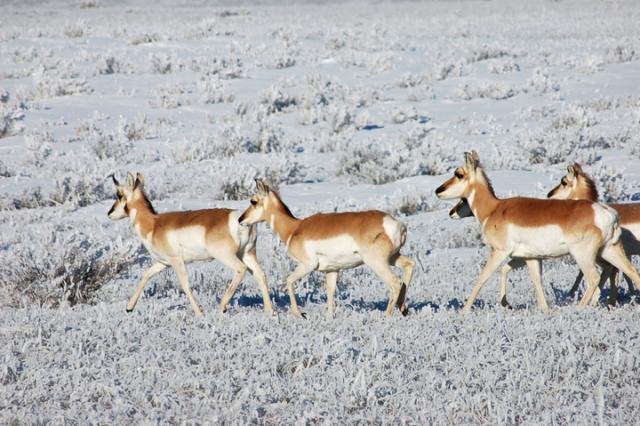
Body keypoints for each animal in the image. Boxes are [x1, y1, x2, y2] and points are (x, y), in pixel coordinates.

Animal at [107, 172, 273, 316]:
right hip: (247, 254)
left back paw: (222, 307)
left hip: (227, 256)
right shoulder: (164, 263)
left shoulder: (176, 261)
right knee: (260, 274)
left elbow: (185, 285)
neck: (153, 224)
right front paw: (129, 308)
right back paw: (269, 310)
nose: (109, 213)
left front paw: (199, 313)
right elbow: (146, 276)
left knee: (241, 269)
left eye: (119, 195)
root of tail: (239, 218)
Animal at [238, 179, 415, 319]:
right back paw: (403, 308)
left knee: (395, 282)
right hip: (392, 258)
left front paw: (299, 314)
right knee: (409, 266)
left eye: (253, 201)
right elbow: (330, 292)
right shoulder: (332, 270)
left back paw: (387, 316)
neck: (294, 228)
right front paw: (329, 318)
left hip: (377, 263)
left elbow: (288, 280)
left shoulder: (307, 265)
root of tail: (395, 224)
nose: (240, 219)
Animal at [435, 151, 640, 311]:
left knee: (594, 279)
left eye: (458, 173)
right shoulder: (530, 258)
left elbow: (481, 279)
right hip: (610, 251)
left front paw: (464, 312)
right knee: (632, 273)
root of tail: (605, 212)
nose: (438, 190)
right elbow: (535, 282)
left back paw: (578, 310)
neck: (494, 208)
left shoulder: (498, 252)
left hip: (583, 256)